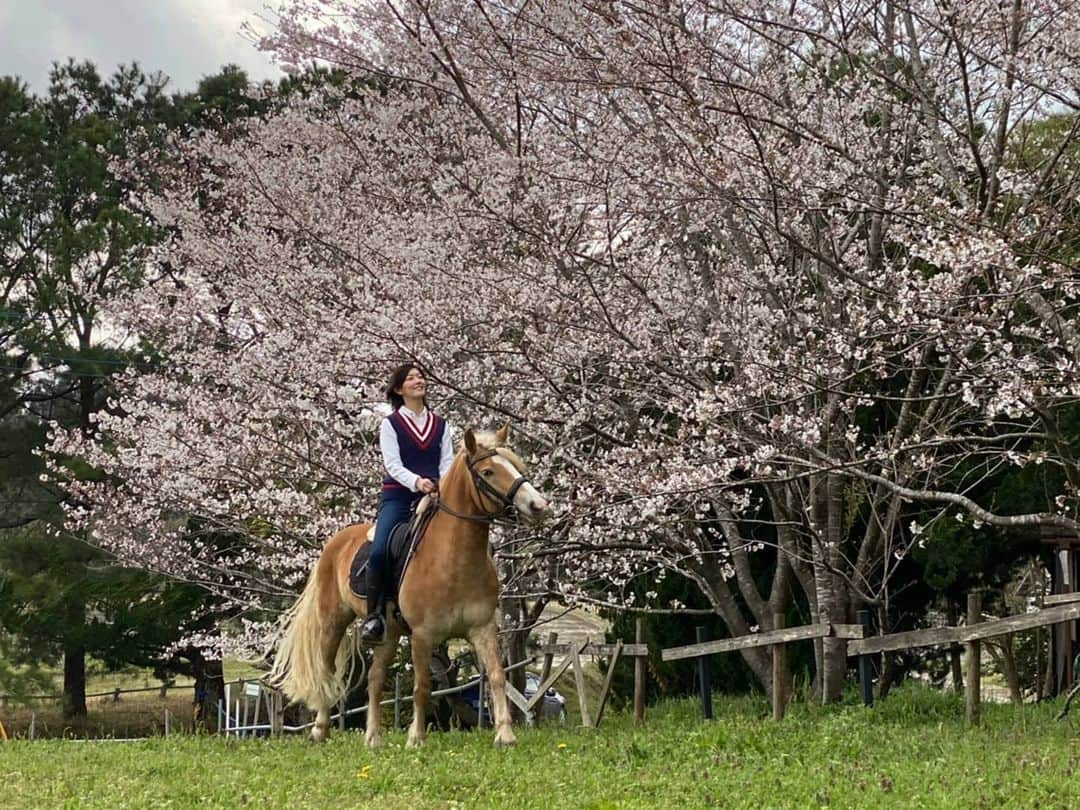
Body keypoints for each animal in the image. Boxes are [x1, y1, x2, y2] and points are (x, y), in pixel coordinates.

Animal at [266, 427, 552, 751]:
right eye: (488, 472)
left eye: (516, 466)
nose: (538, 506)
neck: (454, 559)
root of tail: (337, 540)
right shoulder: (423, 636)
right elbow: (421, 686)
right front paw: (416, 737)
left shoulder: (483, 628)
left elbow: (496, 675)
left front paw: (505, 734)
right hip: (333, 621)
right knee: (326, 670)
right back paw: (320, 730)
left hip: (388, 633)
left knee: (375, 679)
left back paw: (373, 737)